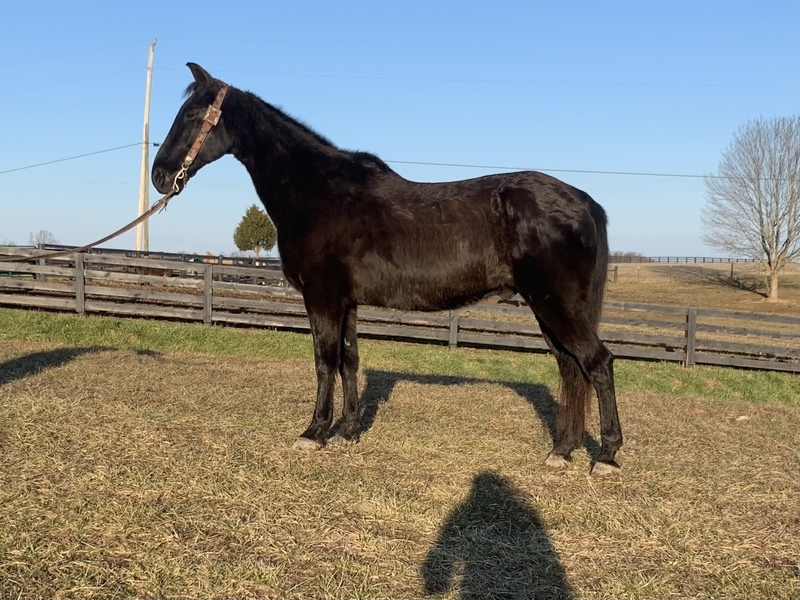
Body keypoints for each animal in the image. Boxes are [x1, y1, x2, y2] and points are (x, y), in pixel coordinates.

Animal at [152, 63, 623, 475]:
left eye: (191, 115)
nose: (159, 176)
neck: (317, 190)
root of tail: (583, 200)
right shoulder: (347, 303)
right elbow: (349, 361)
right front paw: (348, 431)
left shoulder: (321, 297)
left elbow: (324, 360)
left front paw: (314, 432)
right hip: (548, 309)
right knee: (571, 369)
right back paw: (562, 451)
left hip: (557, 305)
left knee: (597, 363)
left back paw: (607, 457)